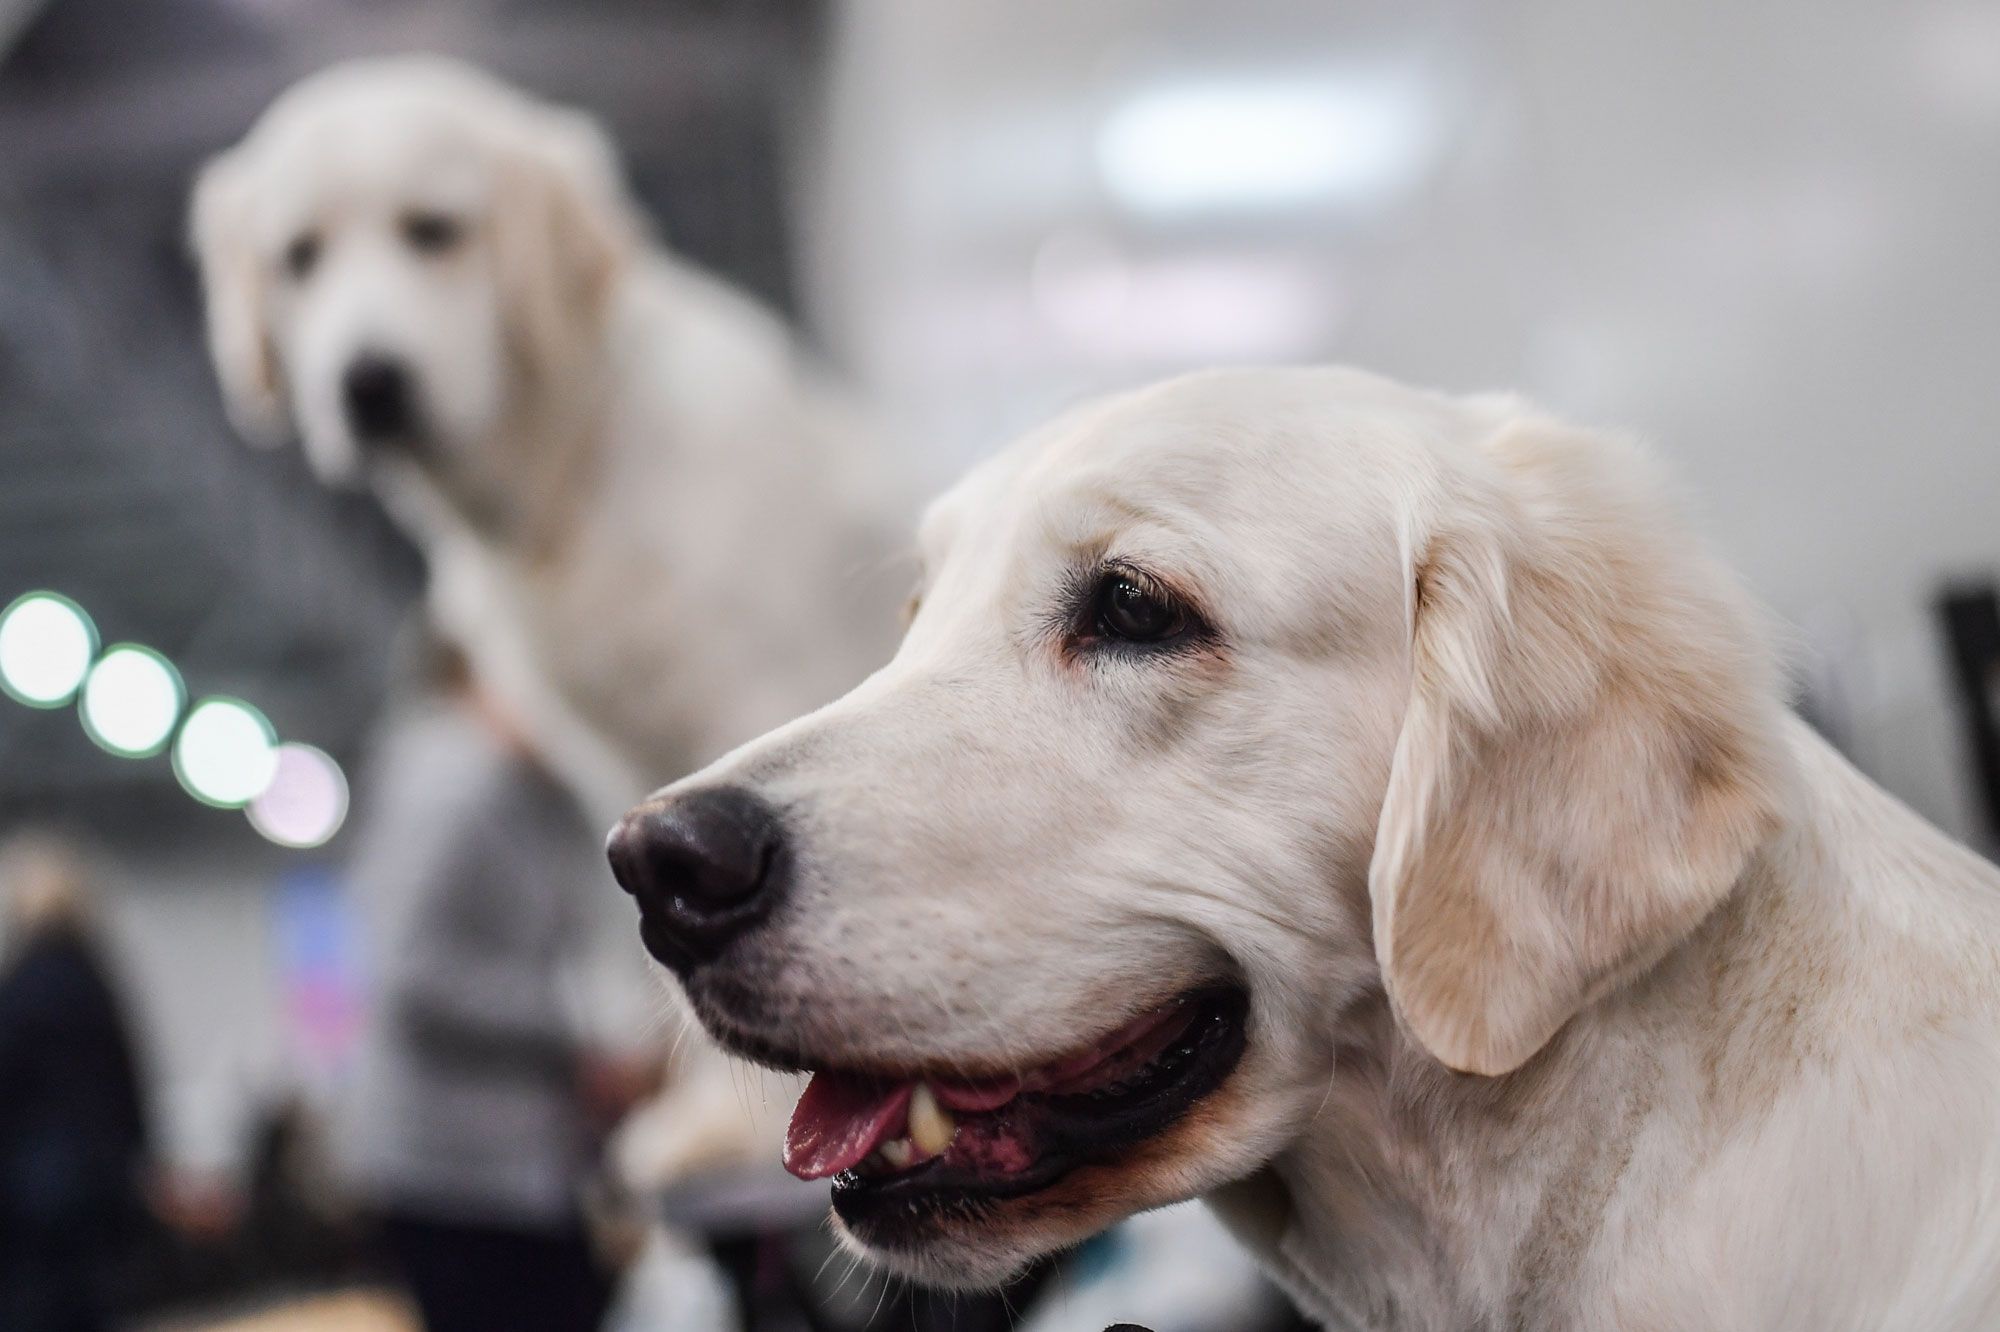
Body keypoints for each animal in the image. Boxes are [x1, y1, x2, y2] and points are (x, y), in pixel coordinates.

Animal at [188, 57, 908, 816]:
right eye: (298, 257)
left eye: (435, 230)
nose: (369, 384)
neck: (570, 477)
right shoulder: (601, 754)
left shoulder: (762, 695)